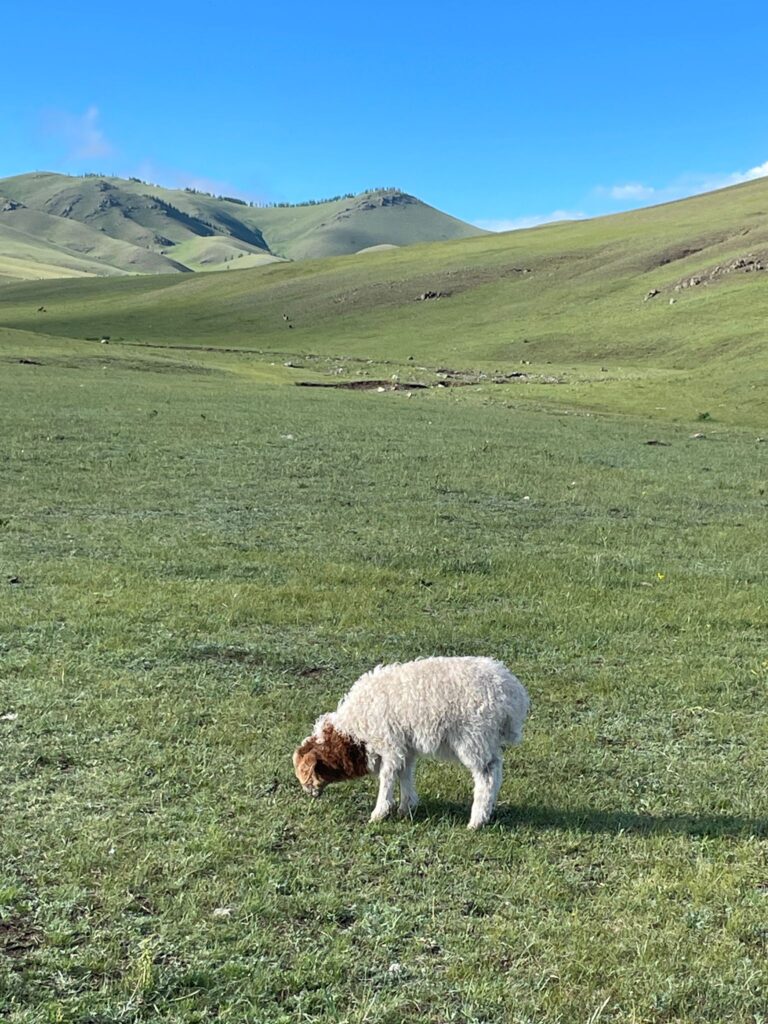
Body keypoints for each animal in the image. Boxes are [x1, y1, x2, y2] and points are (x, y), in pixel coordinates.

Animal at [292, 655, 528, 831]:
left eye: (308, 774)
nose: (308, 792)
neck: (352, 733)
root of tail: (511, 694)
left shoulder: (389, 743)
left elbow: (387, 777)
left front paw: (379, 813)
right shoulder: (405, 747)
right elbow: (405, 774)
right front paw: (406, 807)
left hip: (475, 736)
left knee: (487, 776)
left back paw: (477, 821)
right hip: (486, 739)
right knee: (496, 771)